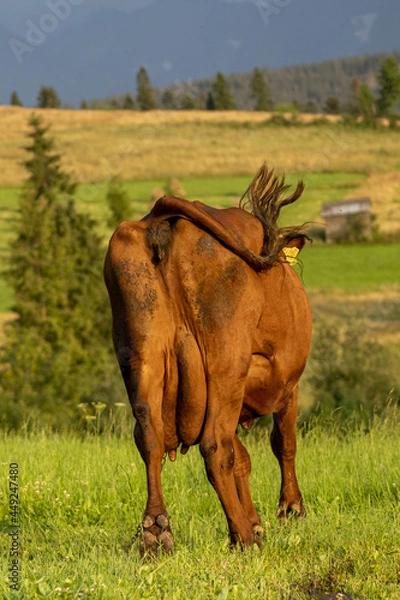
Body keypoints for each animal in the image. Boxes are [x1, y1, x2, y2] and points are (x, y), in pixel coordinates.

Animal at [103, 165, 312, 556]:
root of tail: (159, 216)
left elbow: (243, 458)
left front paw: (258, 521)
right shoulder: (285, 383)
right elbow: (282, 442)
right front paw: (290, 510)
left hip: (140, 352)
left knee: (149, 436)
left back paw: (156, 532)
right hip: (224, 362)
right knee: (215, 446)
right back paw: (242, 537)